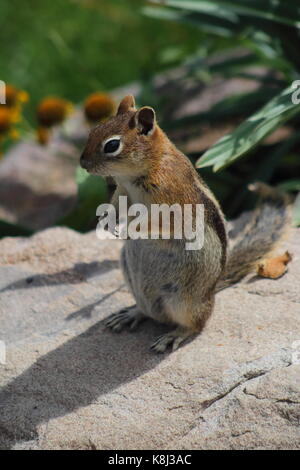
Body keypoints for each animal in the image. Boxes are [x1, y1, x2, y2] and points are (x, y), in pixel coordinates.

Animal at [80, 95, 290, 352]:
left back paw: (175, 335)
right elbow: (114, 205)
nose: (82, 163)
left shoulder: (171, 203)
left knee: (197, 324)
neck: (144, 169)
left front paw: (126, 228)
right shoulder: (122, 191)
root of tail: (212, 292)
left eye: (111, 145)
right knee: (147, 311)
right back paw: (131, 314)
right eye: (93, 130)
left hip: (184, 301)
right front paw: (106, 222)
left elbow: (156, 221)